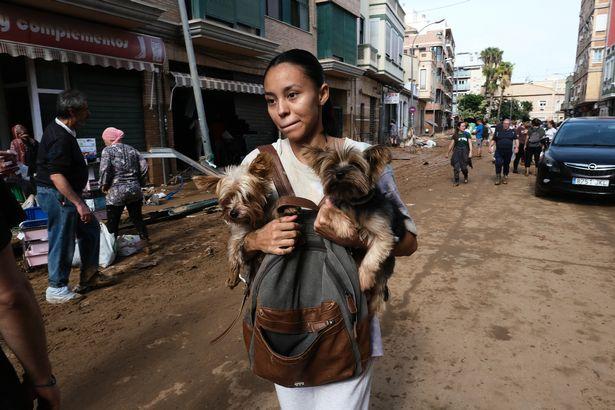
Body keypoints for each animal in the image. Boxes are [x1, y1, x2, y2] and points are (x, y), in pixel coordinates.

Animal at [201, 152, 276, 290]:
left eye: (247, 196)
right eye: (227, 199)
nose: (233, 213)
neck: (255, 218)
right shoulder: (239, 234)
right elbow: (234, 253)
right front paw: (232, 276)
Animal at [304, 145, 400, 314]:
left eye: (355, 164)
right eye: (332, 165)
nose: (339, 173)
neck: (353, 201)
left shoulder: (384, 234)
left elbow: (371, 258)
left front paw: (363, 278)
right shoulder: (331, 206)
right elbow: (332, 211)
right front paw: (345, 227)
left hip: (387, 267)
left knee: (380, 287)